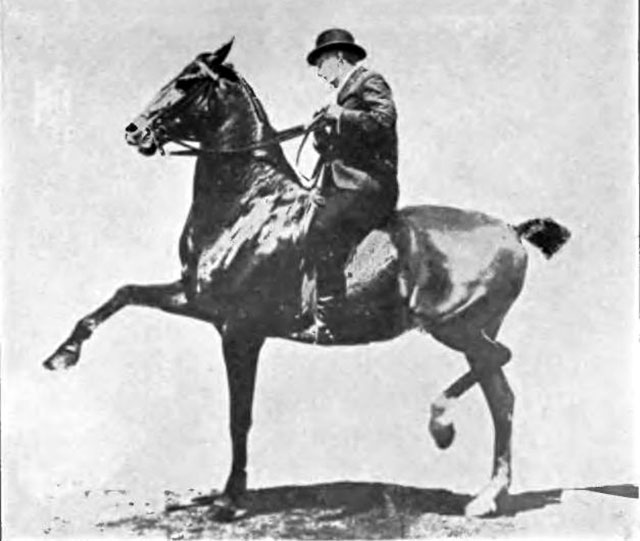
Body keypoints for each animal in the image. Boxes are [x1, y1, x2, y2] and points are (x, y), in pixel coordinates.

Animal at [43, 39, 570, 519]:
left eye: (188, 82)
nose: (134, 131)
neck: (247, 202)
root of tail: (512, 230)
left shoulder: (240, 330)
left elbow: (239, 417)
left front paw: (230, 500)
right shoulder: (198, 301)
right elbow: (123, 294)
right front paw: (62, 355)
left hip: (454, 325)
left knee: (497, 363)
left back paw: (442, 427)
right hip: (471, 329)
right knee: (501, 397)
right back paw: (488, 497)